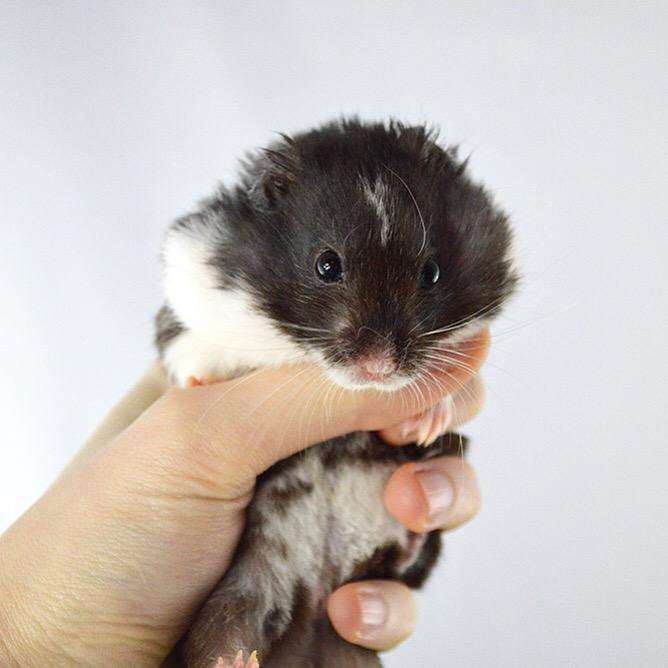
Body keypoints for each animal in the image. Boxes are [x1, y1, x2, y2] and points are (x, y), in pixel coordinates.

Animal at [156, 119, 518, 667]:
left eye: (431, 272)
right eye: (327, 265)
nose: (379, 369)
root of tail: (316, 603)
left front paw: (426, 418)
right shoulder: (189, 282)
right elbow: (188, 347)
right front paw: (204, 381)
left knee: (411, 558)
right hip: (242, 586)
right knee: (224, 626)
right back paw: (231, 660)